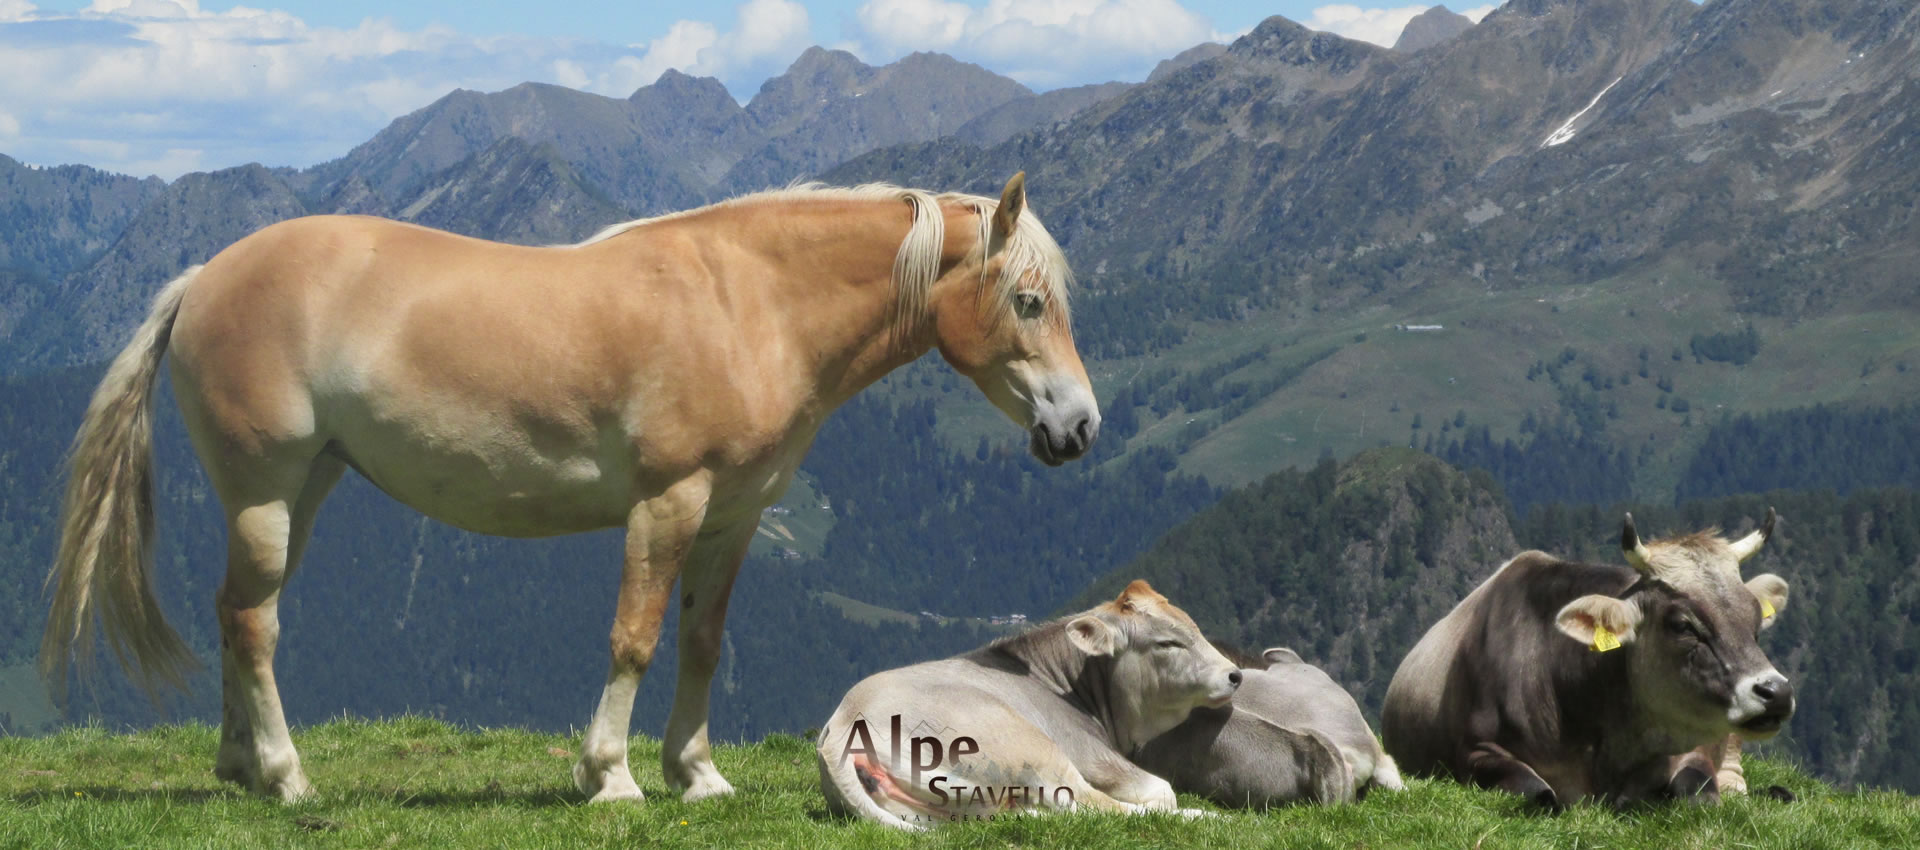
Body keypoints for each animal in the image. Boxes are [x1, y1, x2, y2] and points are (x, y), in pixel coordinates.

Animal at [41, 174, 1098, 805]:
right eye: (1028, 302)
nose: (1080, 426)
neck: (747, 305)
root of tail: (203, 278)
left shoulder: (732, 518)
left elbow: (702, 644)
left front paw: (697, 774)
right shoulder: (668, 505)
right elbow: (634, 638)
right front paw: (612, 777)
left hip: (302, 490)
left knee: (234, 611)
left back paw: (238, 768)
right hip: (266, 491)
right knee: (256, 621)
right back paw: (288, 776)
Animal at [814, 583, 1236, 828]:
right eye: (1168, 643)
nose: (1234, 674)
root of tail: (842, 725)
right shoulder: (1092, 753)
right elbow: (1160, 789)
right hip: (1030, 747)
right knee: (1090, 803)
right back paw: (1202, 816)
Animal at [1390, 510, 1789, 809]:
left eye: (1755, 619)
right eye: (1681, 624)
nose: (1777, 693)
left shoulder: (1691, 739)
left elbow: (1697, 792)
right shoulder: (1474, 748)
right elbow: (1538, 794)